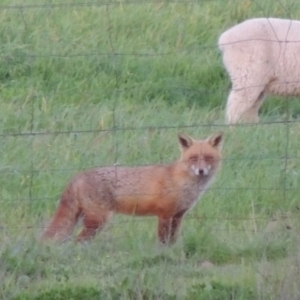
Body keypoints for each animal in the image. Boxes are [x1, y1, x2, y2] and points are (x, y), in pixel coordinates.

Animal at [41, 132, 223, 245]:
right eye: (193, 158)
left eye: (208, 158)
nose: (201, 171)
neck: (182, 182)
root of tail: (79, 174)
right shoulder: (164, 214)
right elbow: (163, 240)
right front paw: (162, 255)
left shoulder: (178, 216)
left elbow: (172, 240)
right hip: (98, 219)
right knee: (78, 241)